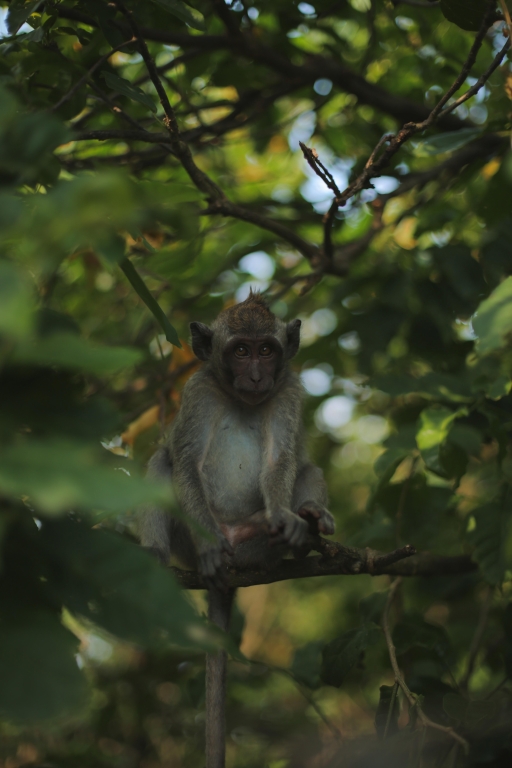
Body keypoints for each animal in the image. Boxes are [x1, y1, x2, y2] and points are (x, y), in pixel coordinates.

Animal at [138, 292, 334, 768]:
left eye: (266, 350)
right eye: (240, 351)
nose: (258, 375)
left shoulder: (289, 391)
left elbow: (281, 460)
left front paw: (288, 518)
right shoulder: (197, 391)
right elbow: (185, 461)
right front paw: (208, 547)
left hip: (253, 551)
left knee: (308, 468)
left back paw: (308, 527)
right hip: (186, 543)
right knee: (161, 461)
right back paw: (158, 553)